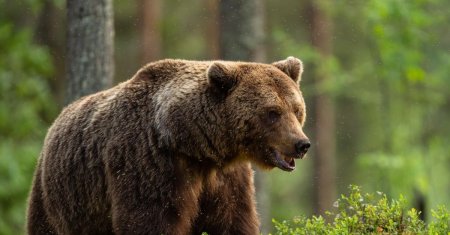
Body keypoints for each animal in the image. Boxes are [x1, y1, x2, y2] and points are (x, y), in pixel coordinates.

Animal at [26, 57, 312, 235]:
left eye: (297, 109)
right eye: (272, 112)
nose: (302, 144)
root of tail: (55, 122)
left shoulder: (225, 179)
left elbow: (232, 219)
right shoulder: (149, 163)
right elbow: (150, 219)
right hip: (58, 197)